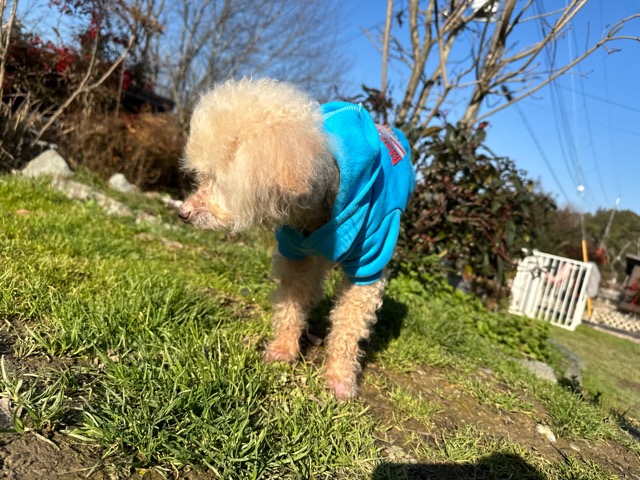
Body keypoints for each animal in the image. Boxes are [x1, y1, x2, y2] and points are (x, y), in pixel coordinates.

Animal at [178, 78, 414, 399]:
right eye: (202, 177)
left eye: (221, 182)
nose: (182, 213)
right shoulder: (295, 252)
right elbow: (291, 303)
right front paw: (284, 350)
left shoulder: (370, 262)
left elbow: (348, 325)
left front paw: (340, 378)